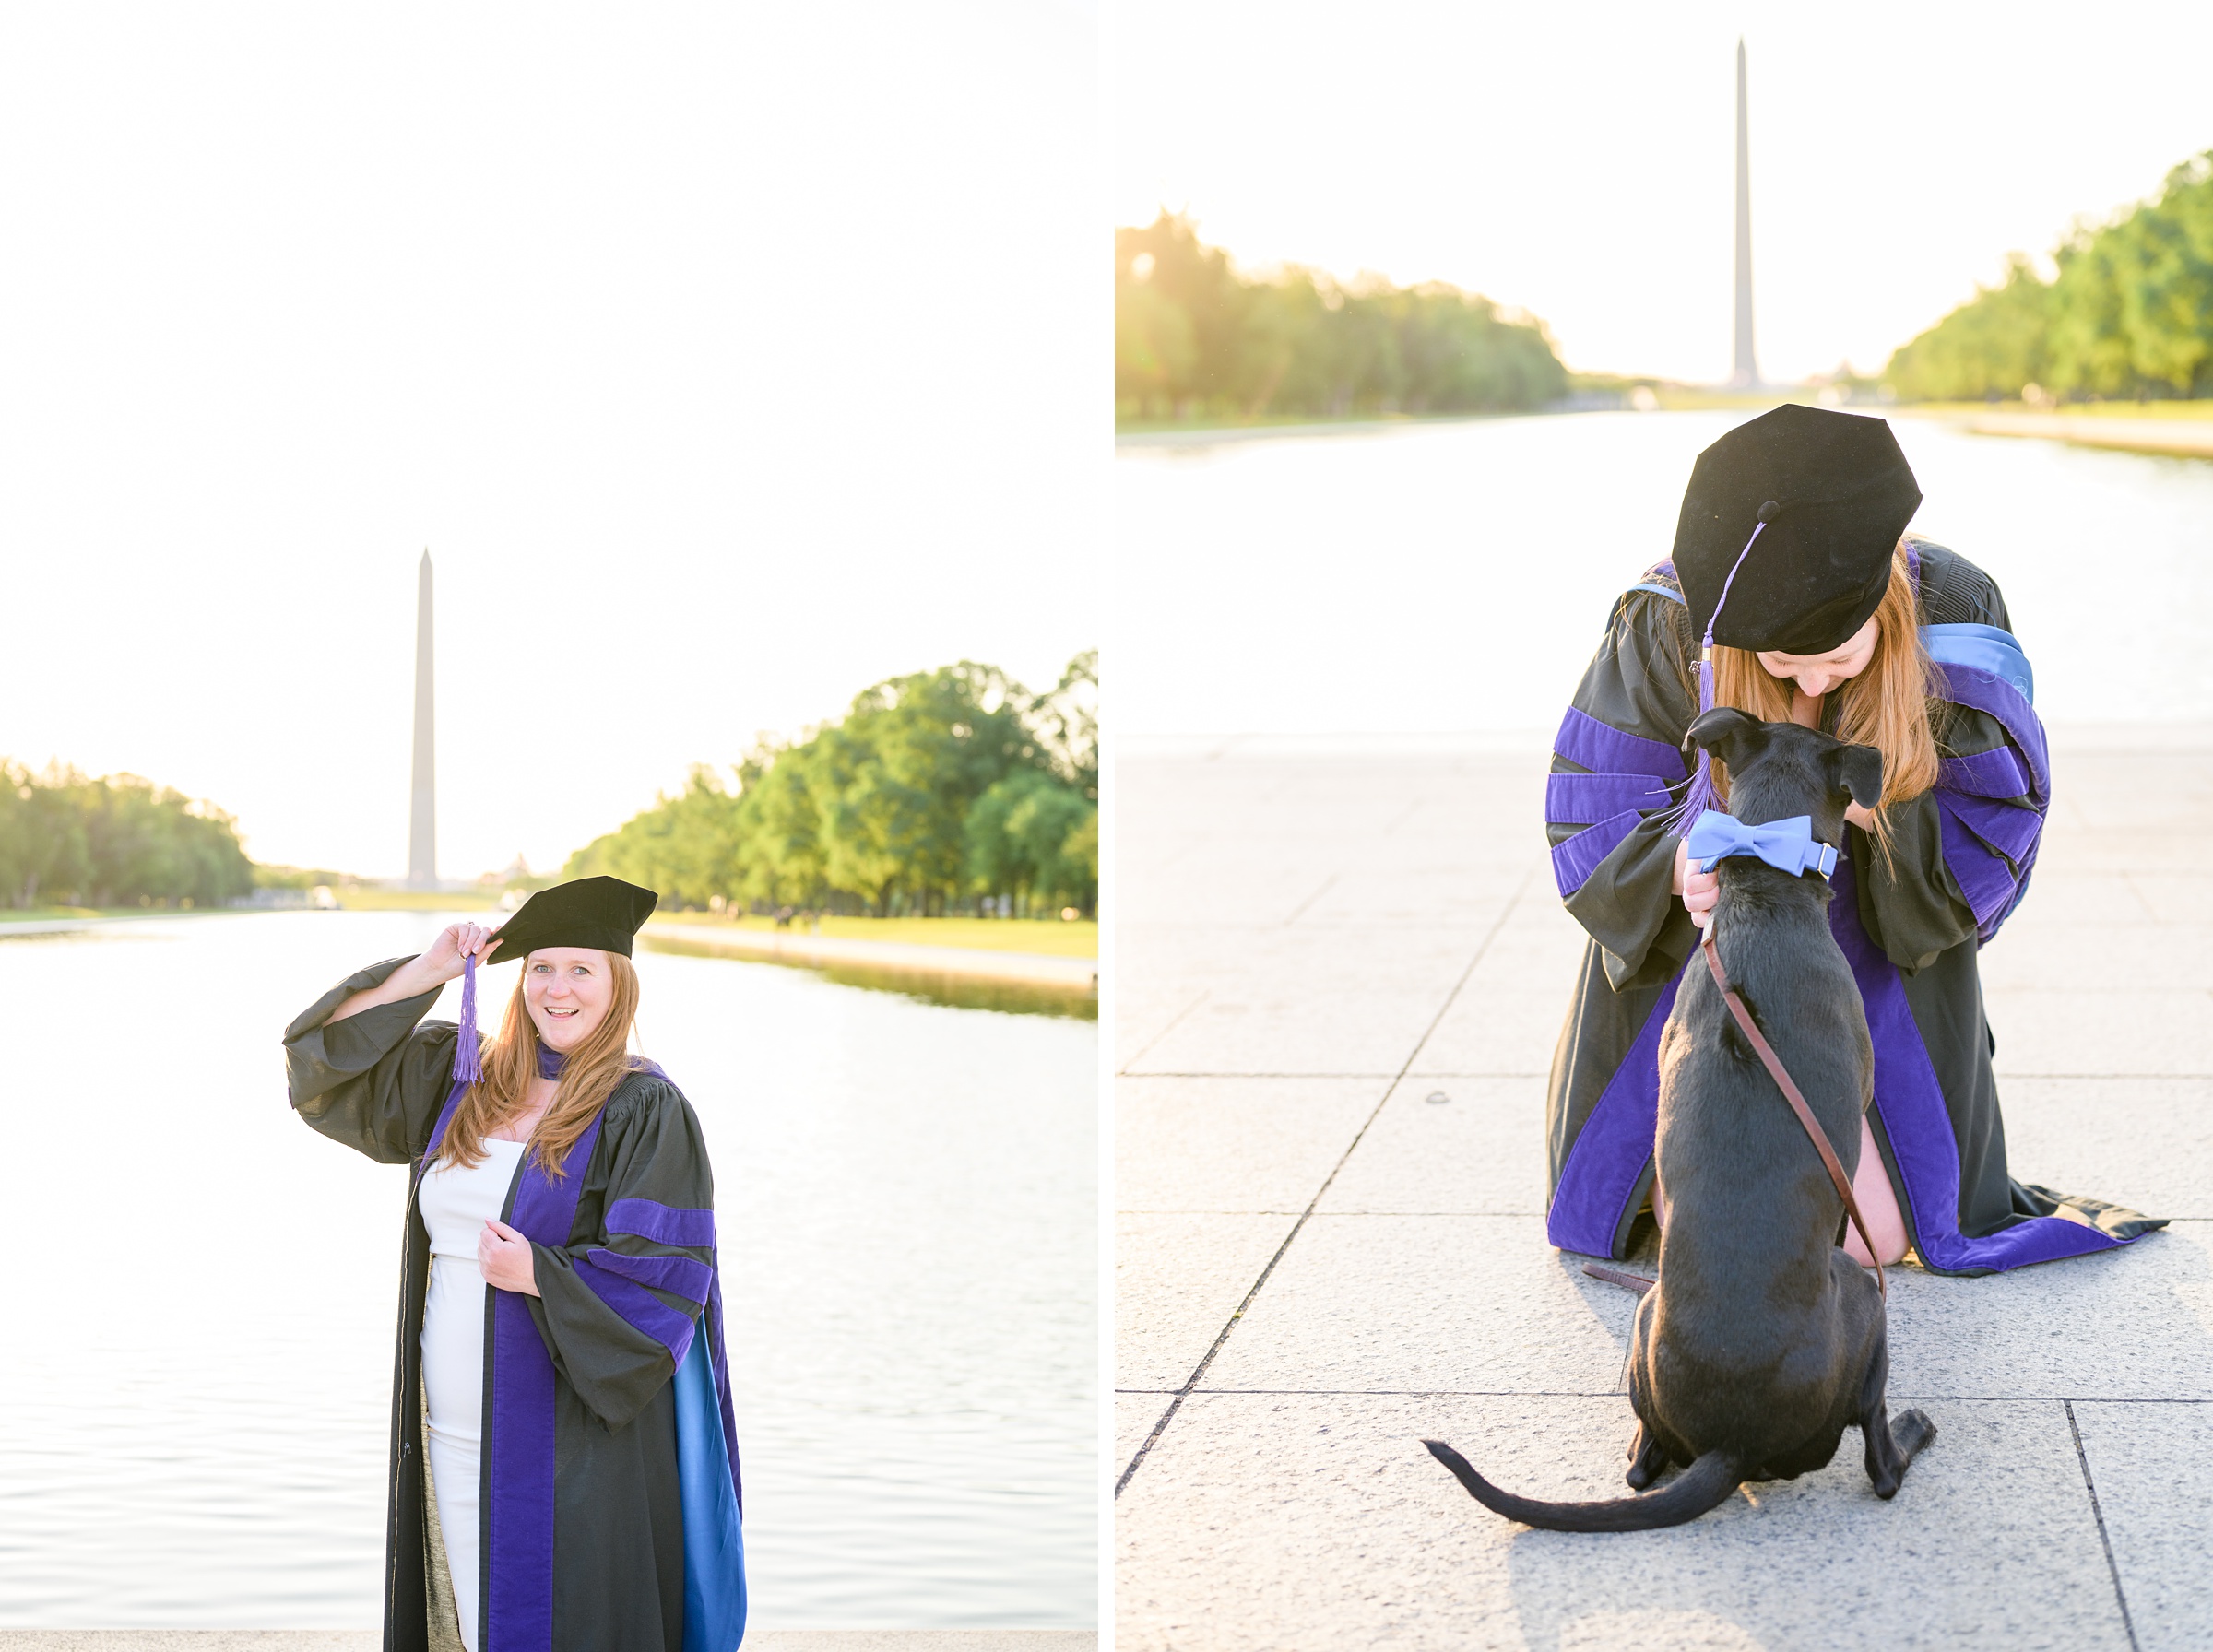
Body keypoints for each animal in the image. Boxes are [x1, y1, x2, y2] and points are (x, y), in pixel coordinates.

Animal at [1425, 702, 1929, 1530]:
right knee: (1881, 1462)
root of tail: (1732, 1443)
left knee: (1638, 1465)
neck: (1763, 893)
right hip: (1862, 1292)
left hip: (1646, 1323)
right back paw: (1914, 1432)